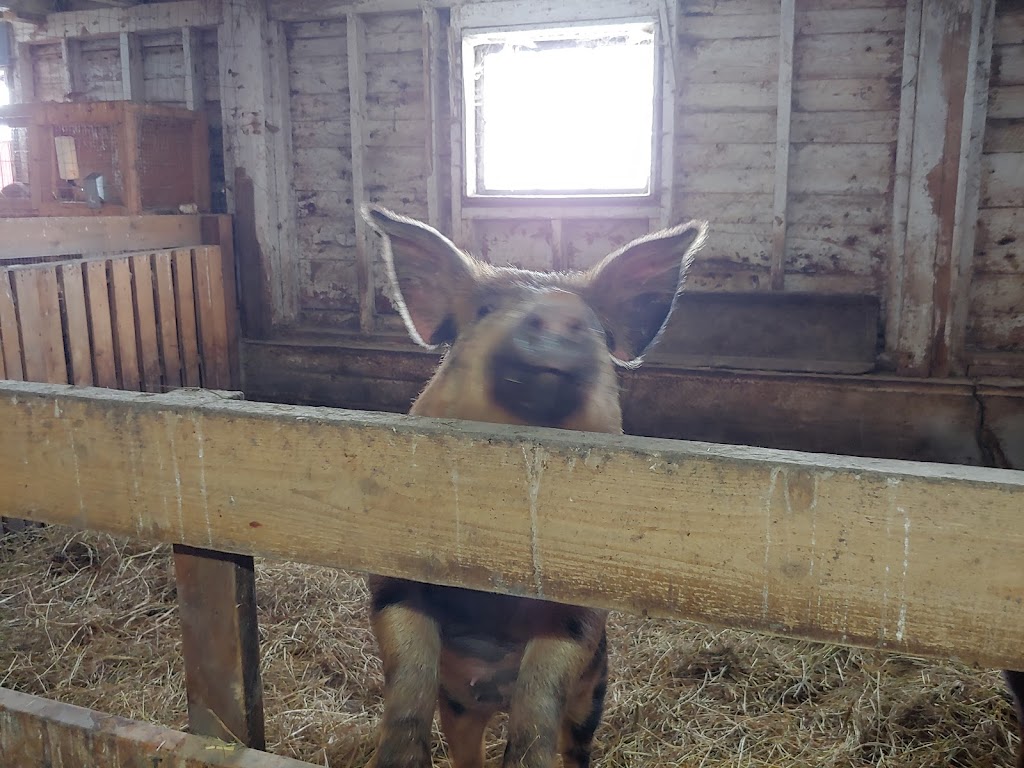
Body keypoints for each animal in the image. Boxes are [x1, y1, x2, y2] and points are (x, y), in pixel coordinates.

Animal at [358, 204, 704, 768]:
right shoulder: (394, 573)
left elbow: (540, 689)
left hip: (595, 689)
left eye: (596, 324)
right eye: (485, 309)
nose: (560, 311)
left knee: (576, 742)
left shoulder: (579, 610)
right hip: (460, 706)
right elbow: (408, 672)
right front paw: (393, 761)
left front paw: (526, 759)